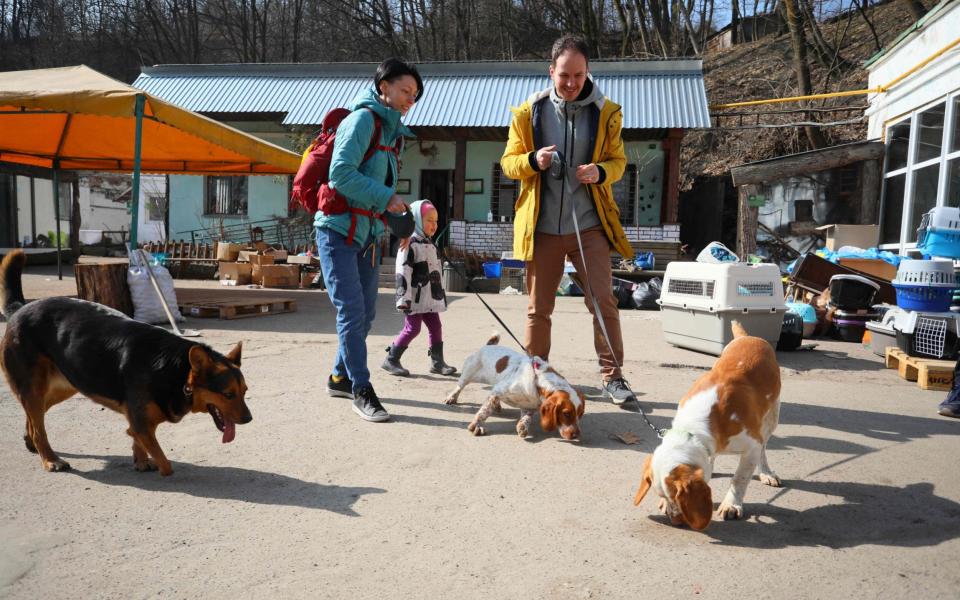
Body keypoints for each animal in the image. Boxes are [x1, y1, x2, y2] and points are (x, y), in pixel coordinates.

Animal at [0, 248, 251, 474]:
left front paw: (140, 460)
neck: (175, 371)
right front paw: (152, 460)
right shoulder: (141, 423)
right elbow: (164, 462)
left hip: (64, 386)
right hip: (35, 387)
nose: (249, 419)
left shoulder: (140, 419)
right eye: (228, 394)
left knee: (35, 417)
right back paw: (50, 458)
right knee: (38, 427)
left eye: (244, 392)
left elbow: (140, 442)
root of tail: (20, 308)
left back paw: (31, 442)